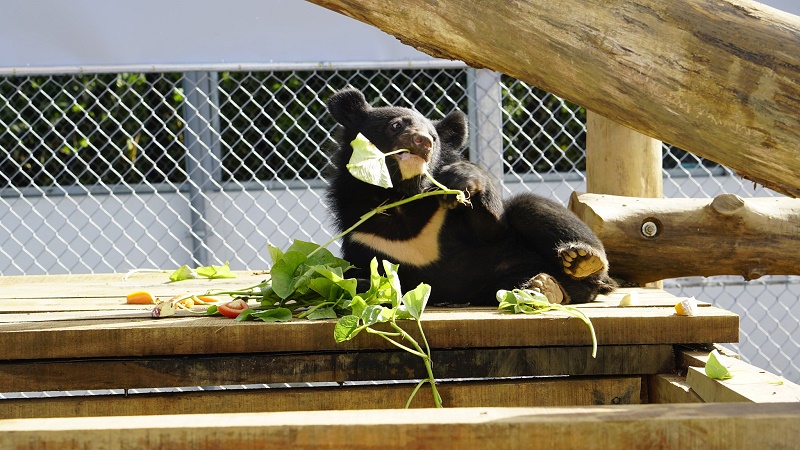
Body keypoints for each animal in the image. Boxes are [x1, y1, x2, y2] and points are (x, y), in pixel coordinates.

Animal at [324, 88, 612, 306]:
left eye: (435, 137)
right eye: (396, 125)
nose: (424, 142)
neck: (401, 195)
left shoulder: (446, 217)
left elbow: (491, 228)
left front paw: (460, 179)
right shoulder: (363, 235)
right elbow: (361, 277)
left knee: (528, 206)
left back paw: (582, 259)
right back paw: (544, 286)